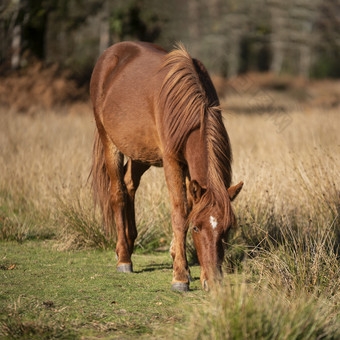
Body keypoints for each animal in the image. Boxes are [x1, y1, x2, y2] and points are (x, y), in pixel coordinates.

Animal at [90, 41, 243, 290]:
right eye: (196, 227)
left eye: (226, 229)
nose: (214, 280)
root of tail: (112, 53)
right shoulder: (172, 161)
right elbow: (180, 212)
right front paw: (180, 275)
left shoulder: (189, 168)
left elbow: (189, 205)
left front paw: (191, 269)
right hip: (109, 142)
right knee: (118, 193)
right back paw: (124, 258)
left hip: (141, 154)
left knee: (129, 185)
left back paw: (129, 244)